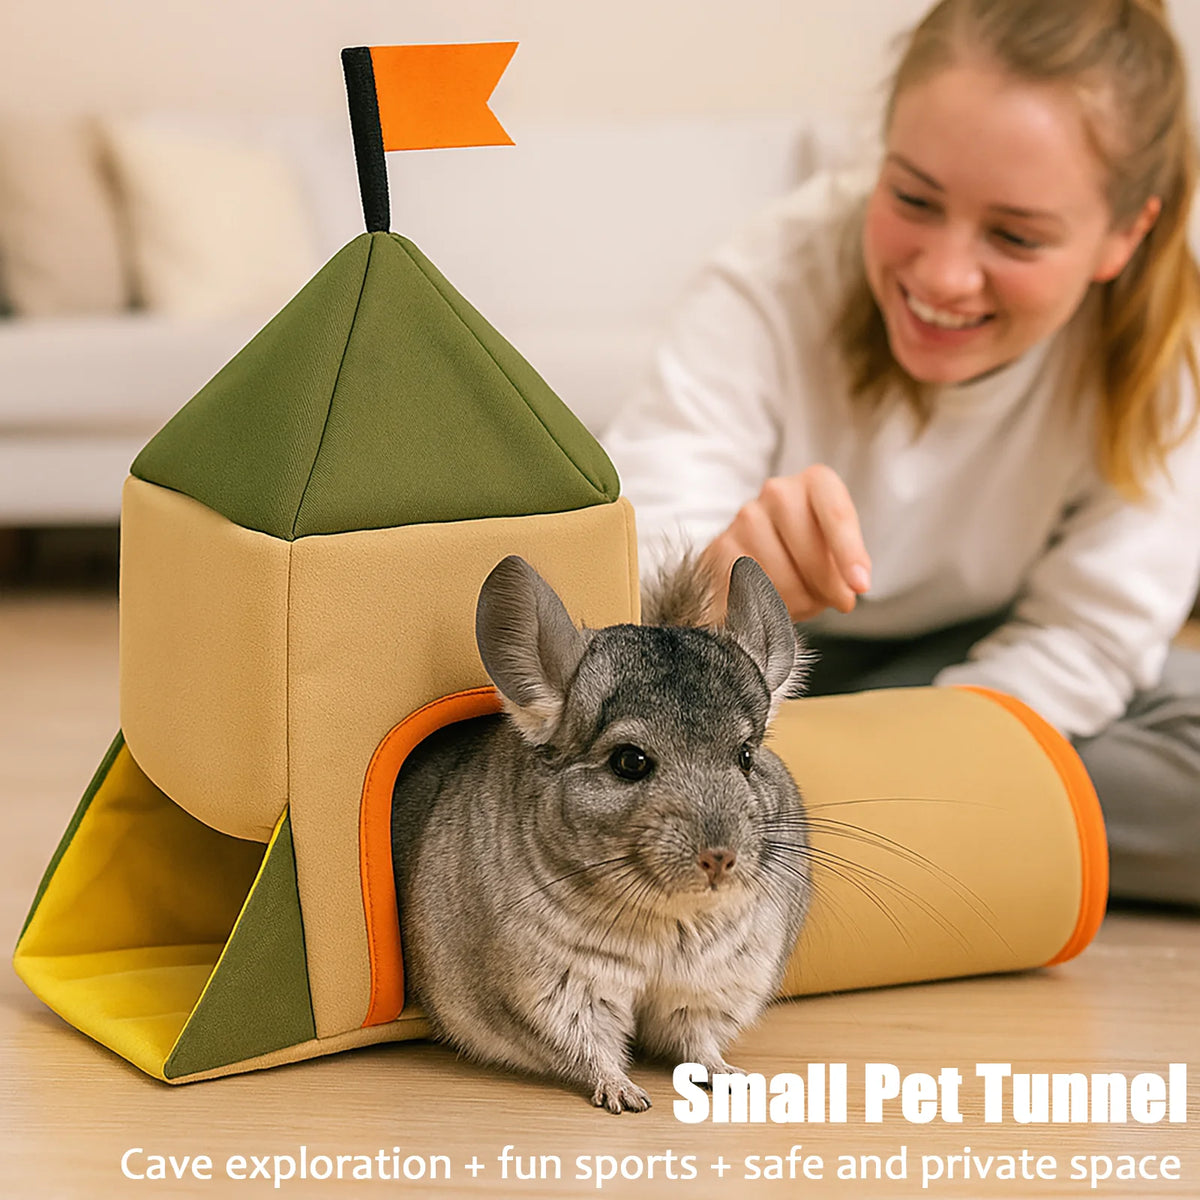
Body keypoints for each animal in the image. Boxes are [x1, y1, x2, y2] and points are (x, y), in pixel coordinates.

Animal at [391, 554, 811, 1113]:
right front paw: (626, 1096)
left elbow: (697, 1042)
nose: (719, 858)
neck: (667, 925)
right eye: (629, 761)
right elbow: (590, 1048)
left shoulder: (714, 984)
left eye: (745, 755)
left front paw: (732, 1076)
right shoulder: (556, 989)